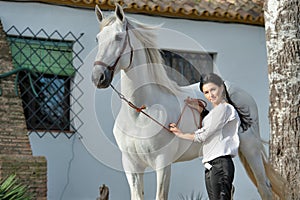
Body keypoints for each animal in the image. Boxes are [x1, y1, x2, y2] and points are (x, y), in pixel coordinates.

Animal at [91, 3, 286, 199]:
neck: (140, 112)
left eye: (118, 37)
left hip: (250, 148)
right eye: (98, 39)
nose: (98, 77)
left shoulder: (163, 164)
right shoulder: (131, 165)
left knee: (264, 187)